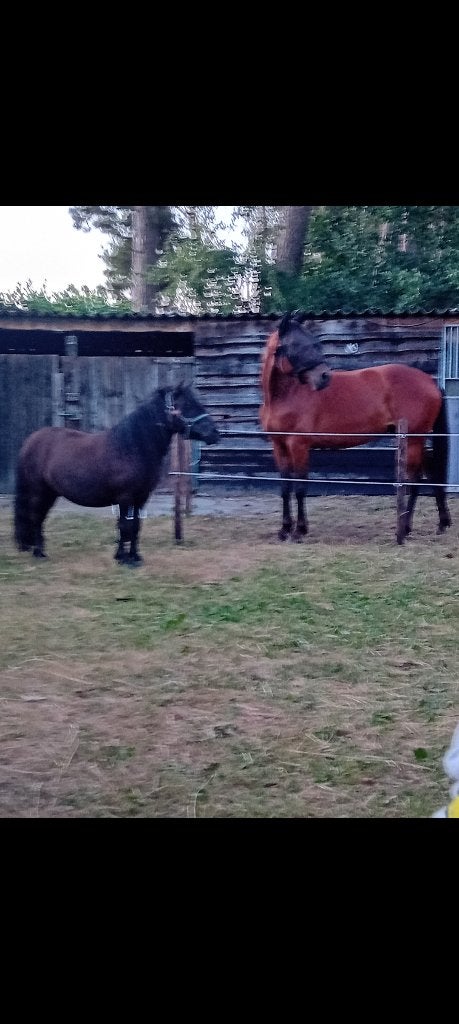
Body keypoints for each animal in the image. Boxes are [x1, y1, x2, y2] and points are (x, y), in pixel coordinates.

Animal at [14, 384, 220, 564]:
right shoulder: (125, 497)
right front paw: (123, 558)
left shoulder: (141, 497)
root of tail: (30, 441)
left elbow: (135, 526)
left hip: (50, 493)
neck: (132, 447)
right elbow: (124, 526)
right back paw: (39, 554)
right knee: (36, 517)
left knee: (39, 518)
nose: (215, 433)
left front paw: (135, 557)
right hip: (38, 492)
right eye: (188, 405)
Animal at [260, 311, 451, 544]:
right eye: (297, 345)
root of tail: (431, 383)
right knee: (431, 472)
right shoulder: (279, 446)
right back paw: (441, 523)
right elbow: (285, 488)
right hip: (415, 439)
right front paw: (284, 530)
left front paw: (299, 531)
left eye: (315, 343)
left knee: (414, 480)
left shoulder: (299, 446)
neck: (284, 397)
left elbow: (300, 487)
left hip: (414, 439)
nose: (324, 377)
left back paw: (405, 529)